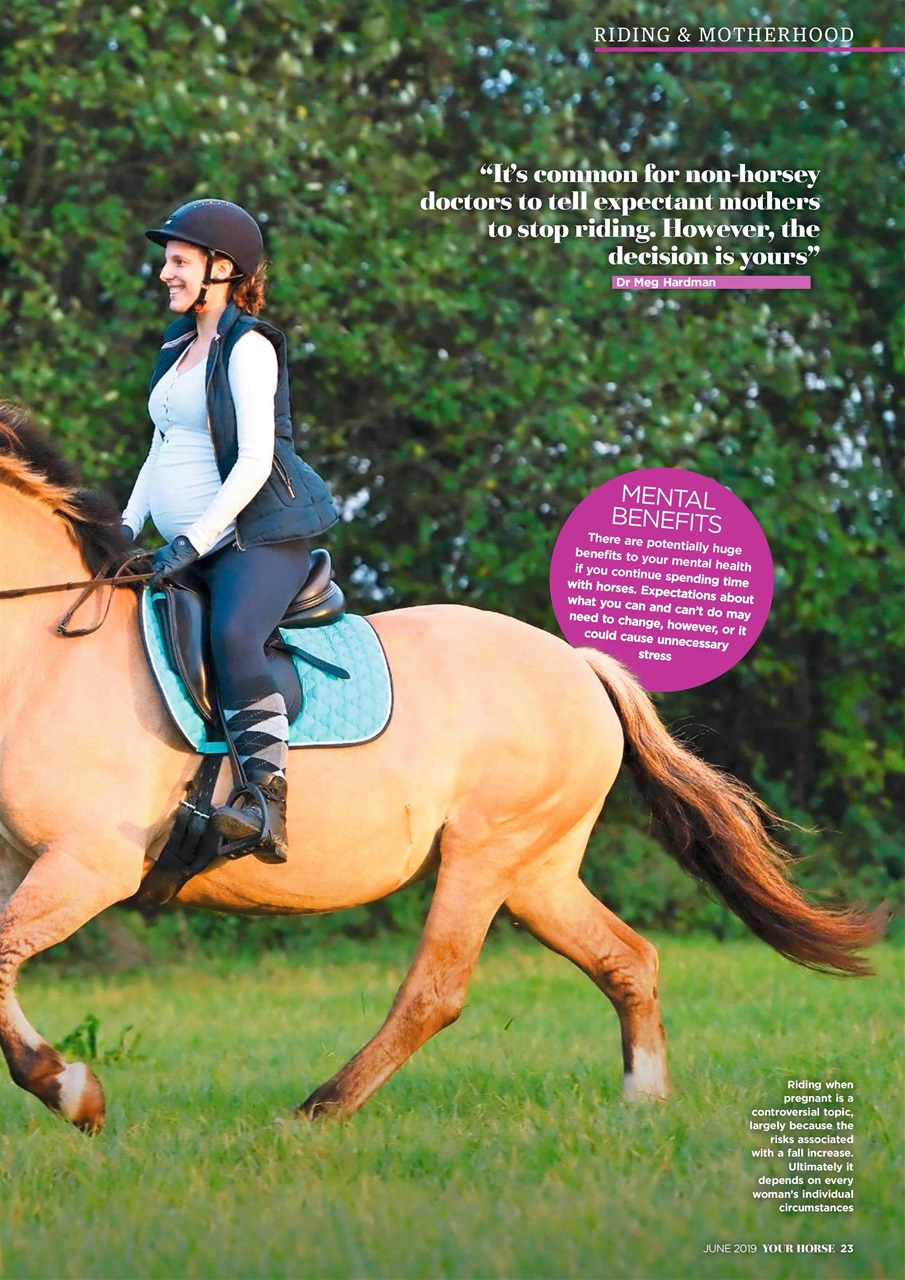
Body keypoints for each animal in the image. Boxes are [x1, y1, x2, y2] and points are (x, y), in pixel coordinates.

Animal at [0, 402, 882, 1135]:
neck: (47, 658)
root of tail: (578, 664)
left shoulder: (90, 864)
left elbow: (2, 958)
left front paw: (73, 1092)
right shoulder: (27, 864)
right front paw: (68, 1089)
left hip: (485, 854)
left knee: (435, 991)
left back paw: (317, 1112)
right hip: (537, 873)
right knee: (626, 958)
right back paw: (642, 1103)